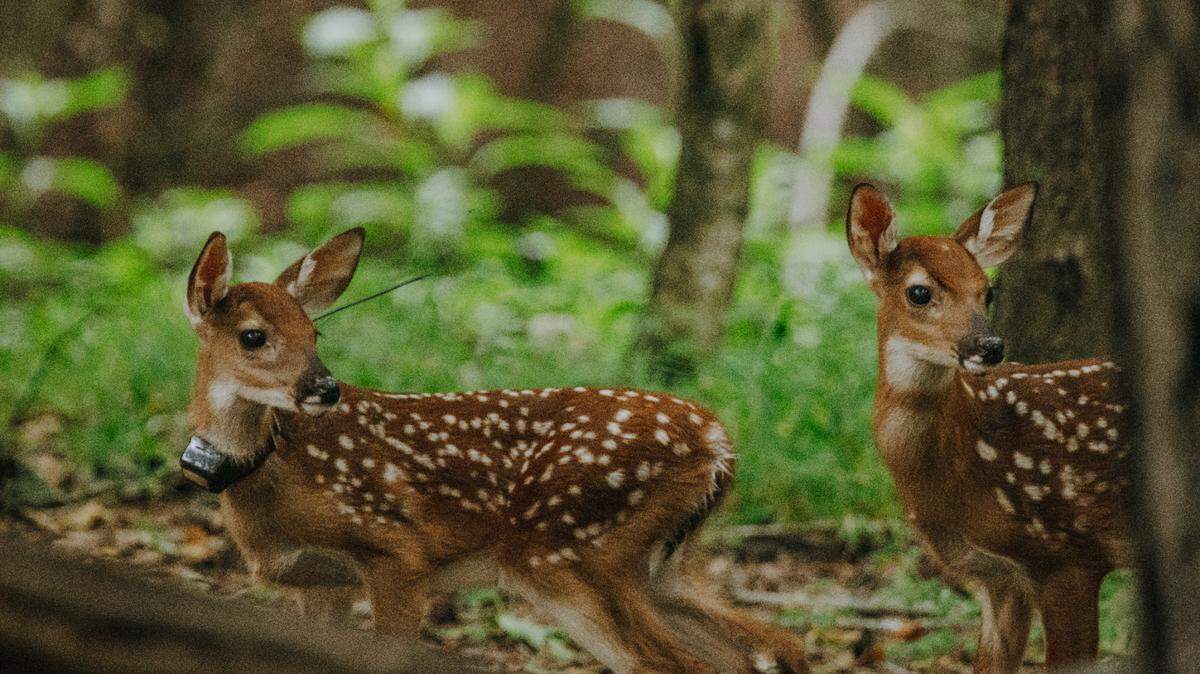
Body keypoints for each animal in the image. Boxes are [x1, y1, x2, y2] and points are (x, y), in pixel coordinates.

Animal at [182, 228, 810, 674]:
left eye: (316, 334)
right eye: (254, 336)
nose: (326, 388)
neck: (271, 480)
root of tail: (718, 442)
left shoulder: (398, 549)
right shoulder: (317, 580)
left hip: (569, 549)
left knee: (673, 663)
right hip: (660, 564)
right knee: (774, 643)